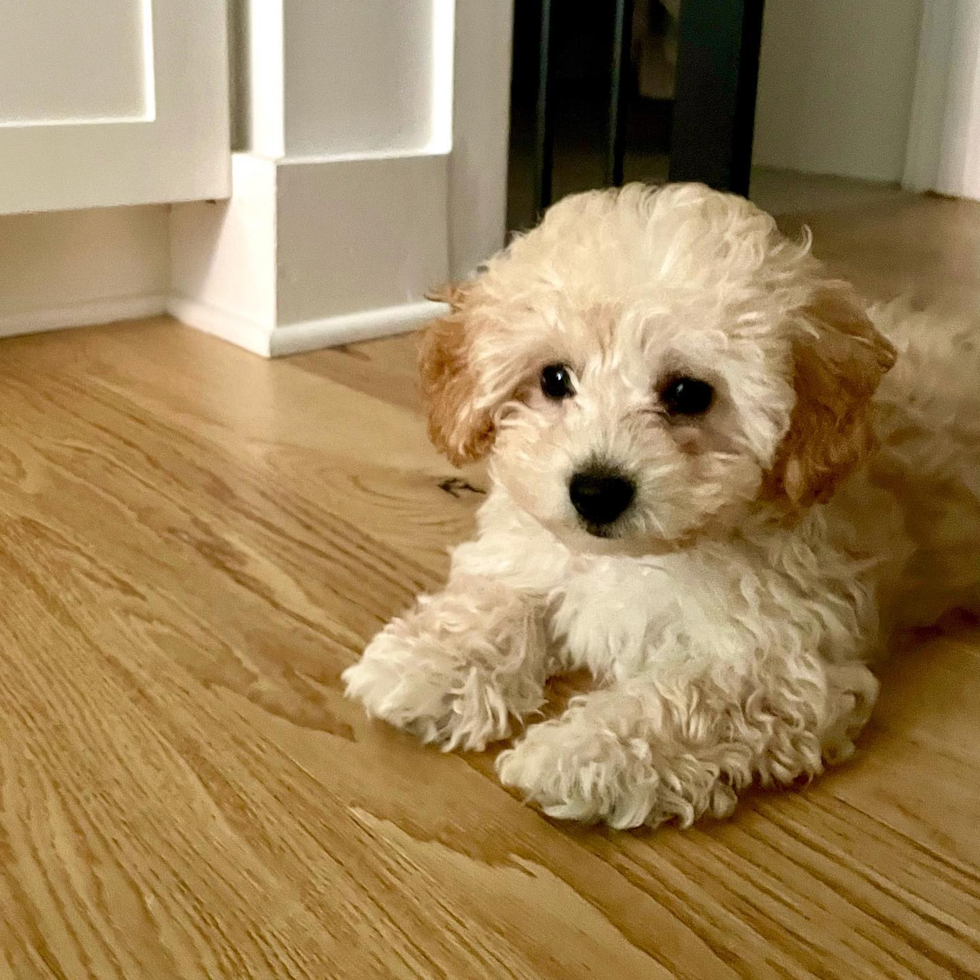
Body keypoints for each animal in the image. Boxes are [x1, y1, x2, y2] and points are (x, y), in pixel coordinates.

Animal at [340, 182, 976, 828]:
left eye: (688, 393)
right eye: (554, 379)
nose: (595, 490)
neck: (639, 555)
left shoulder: (786, 664)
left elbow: (690, 701)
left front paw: (580, 756)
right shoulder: (534, 555)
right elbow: (499, 601)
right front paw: (428, 663)